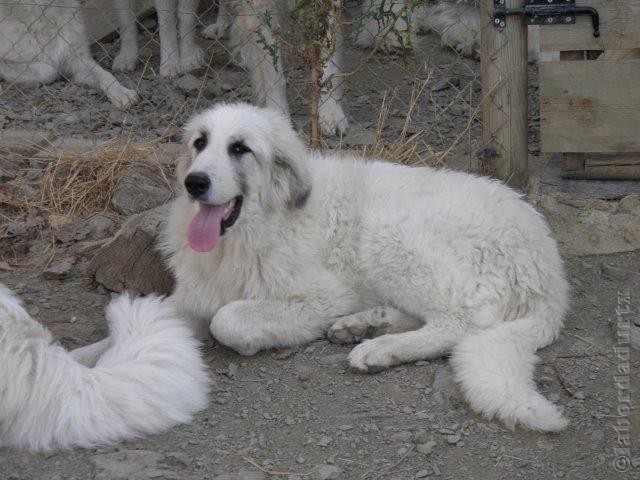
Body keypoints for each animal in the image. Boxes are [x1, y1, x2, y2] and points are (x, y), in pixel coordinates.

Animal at [0, 0, 139, 107]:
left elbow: (105, 74)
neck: (42, 13)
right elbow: (49, 71)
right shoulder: (5, 61)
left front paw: (121, 91)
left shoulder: (77, 60)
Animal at [160, 101, 568, 432]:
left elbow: (226, 318)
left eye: (240, 148)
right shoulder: (193, 295)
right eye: (199, 143)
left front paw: (245, 340)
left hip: (387, 231)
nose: (194, 182)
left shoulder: (324, 296)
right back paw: (365, 325)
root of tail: (550, 274)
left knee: (459, 323)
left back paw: (380, 348)